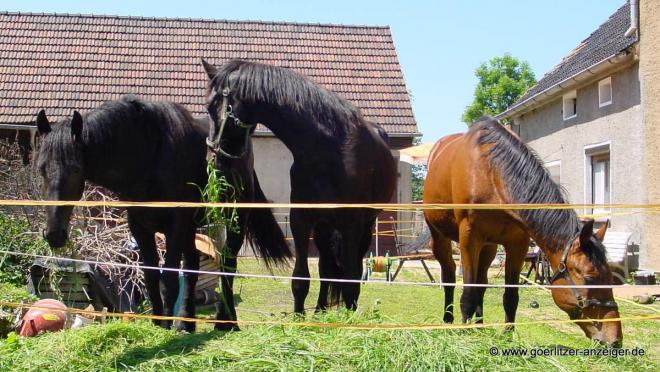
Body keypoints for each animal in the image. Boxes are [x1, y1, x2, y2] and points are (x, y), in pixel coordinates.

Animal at [34, 96, 288, 332]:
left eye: (76, 169)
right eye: (41, 168)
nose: (54, 234)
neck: (148, 158)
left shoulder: (174, 226)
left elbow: (169, 279)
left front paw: (165, 325)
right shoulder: (141, 228)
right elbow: (151, 277)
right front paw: (158, 324)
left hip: (234, 218)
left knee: (228, 265)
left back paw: (226, 322)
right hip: (192, 228)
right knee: (193, 269)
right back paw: (186, 322)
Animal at [201, 59, 398, 312]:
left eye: (211, 107)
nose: (213, 162)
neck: (327, 148)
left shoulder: (351, 225)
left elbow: (350, 280)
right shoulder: (301, 220)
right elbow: (301, 279)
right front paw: (299, 317)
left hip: (364, 228)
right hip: (324, 227)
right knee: (326, 268)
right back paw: (321, 310)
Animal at [426, 117, 620, 346]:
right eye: (590, 278)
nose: (615, 338)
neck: (492, 174)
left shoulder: (517, 244)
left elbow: (510, 296)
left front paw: (507, 336)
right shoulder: (469, 240)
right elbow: (468, 293)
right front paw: (463, 336)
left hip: (489, 247)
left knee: (482, 283)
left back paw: (479, 325)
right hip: (440, 238)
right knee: (449, 273)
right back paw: (448, 320)